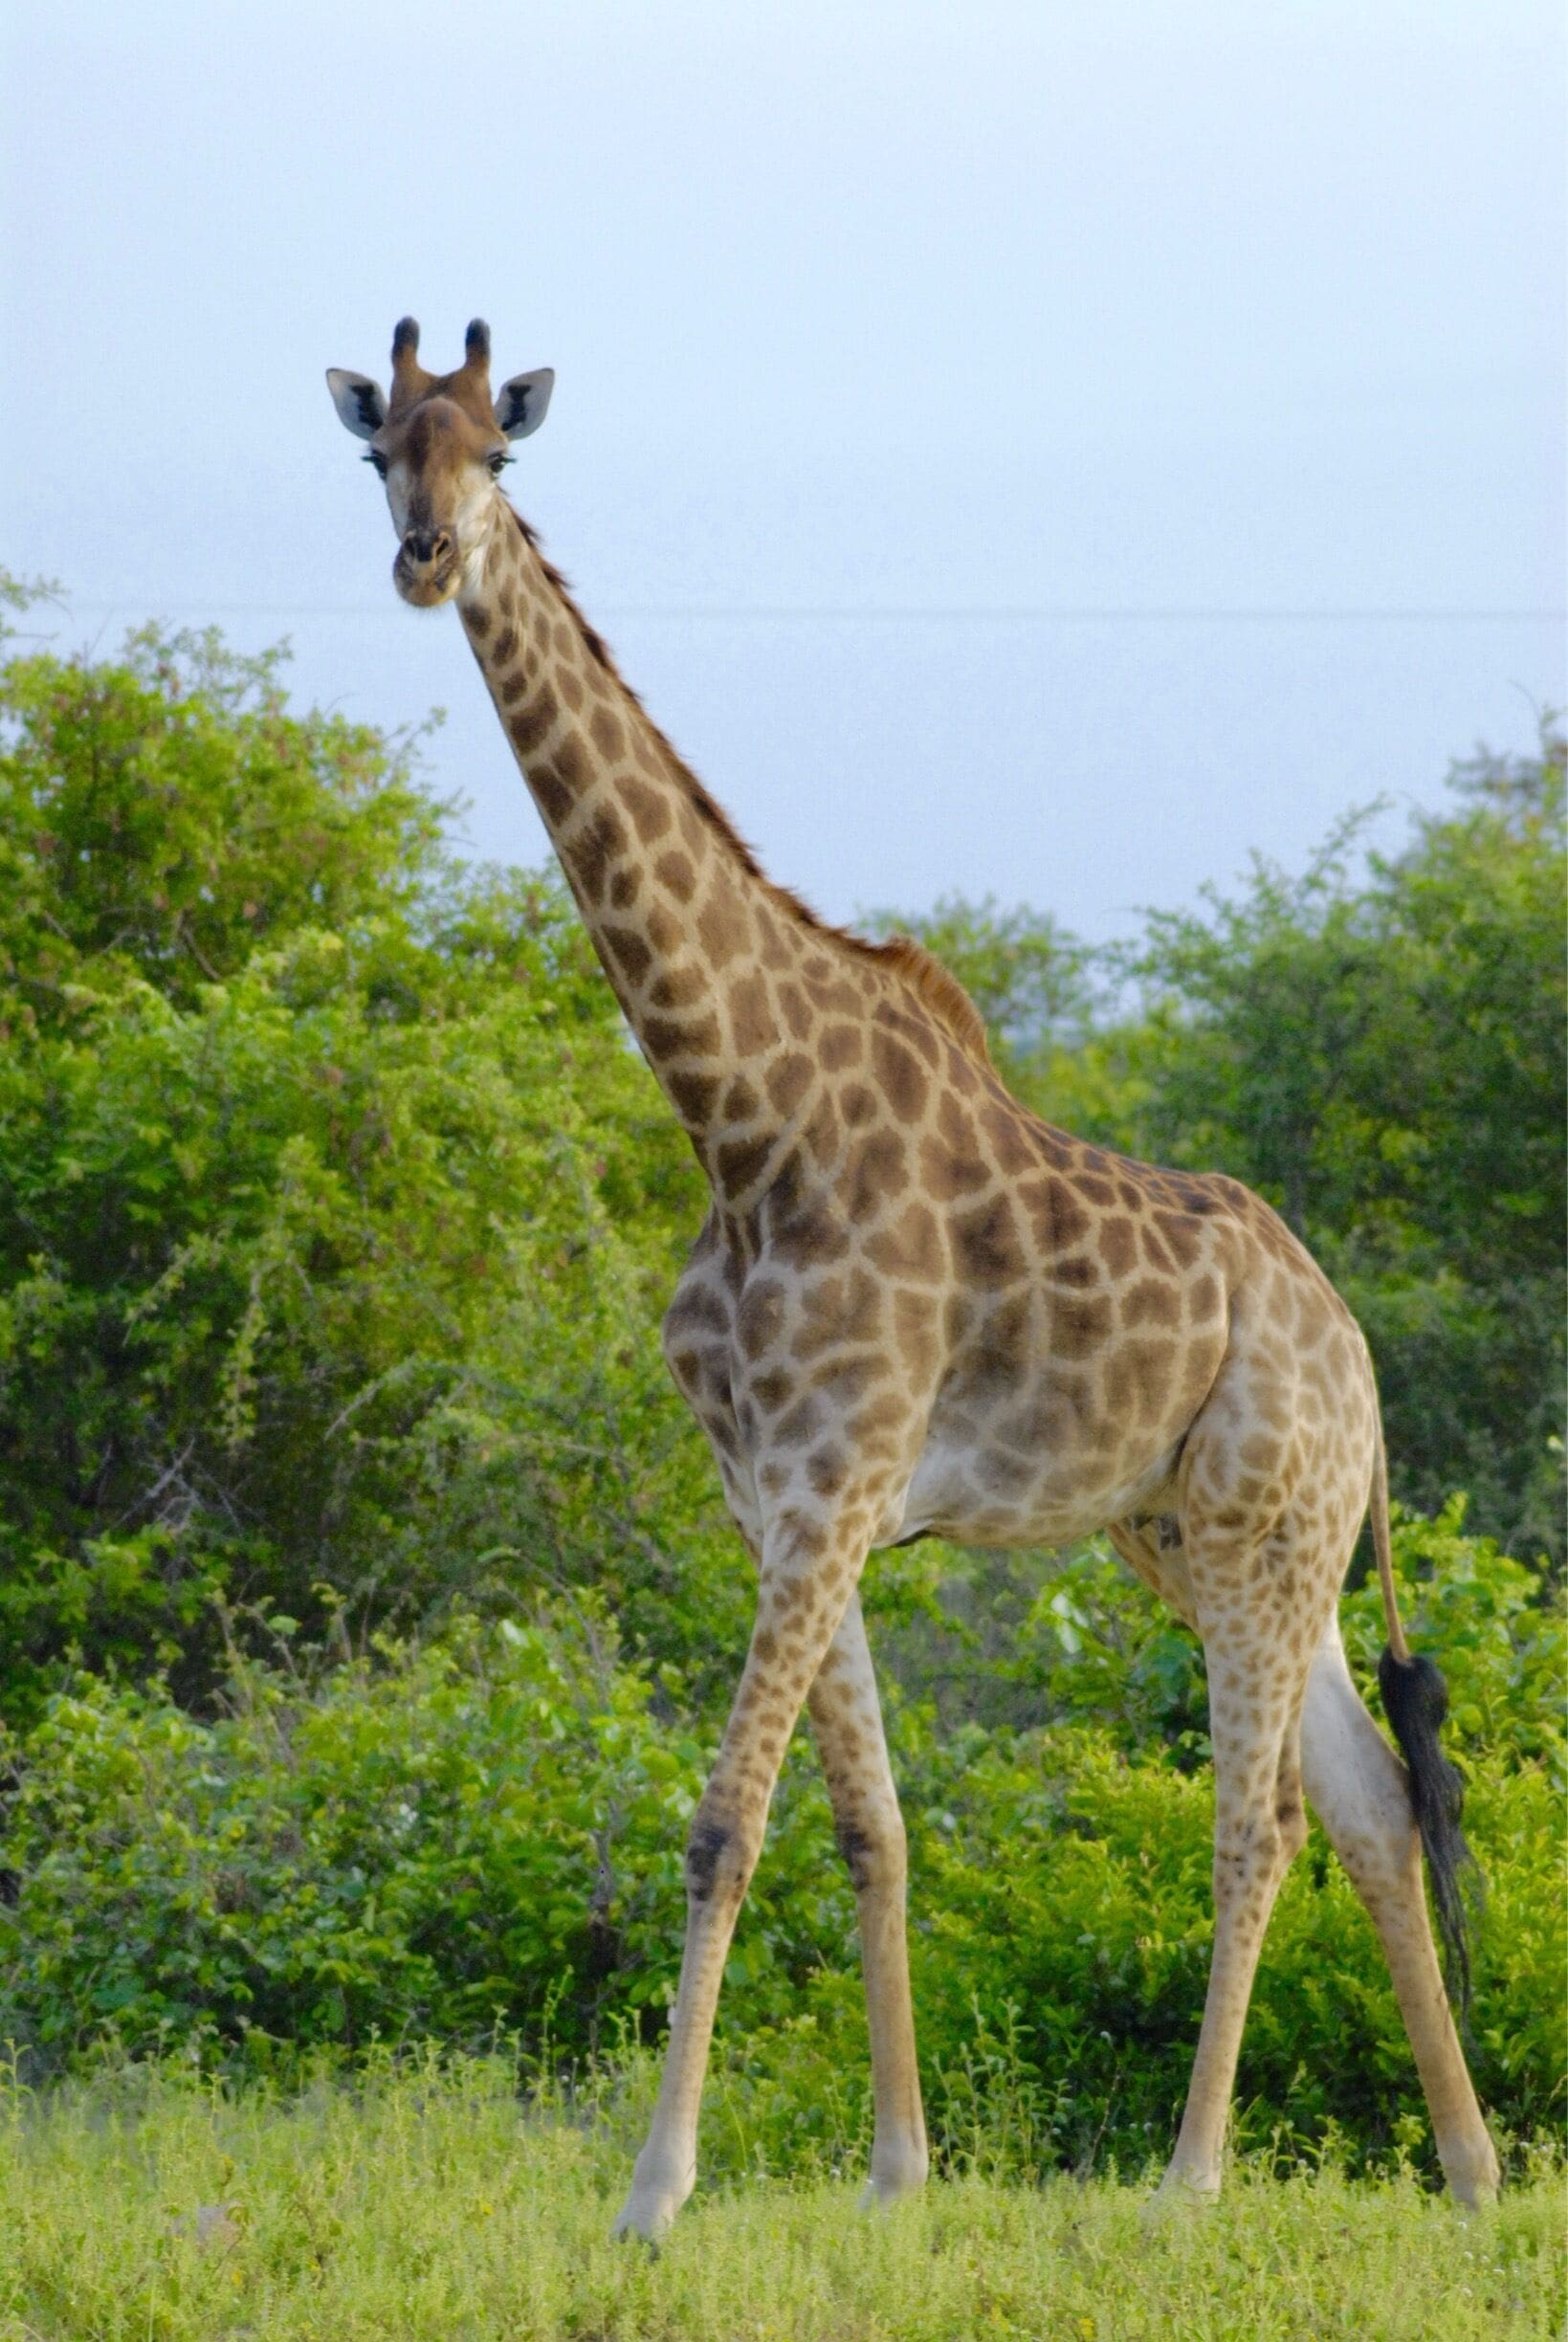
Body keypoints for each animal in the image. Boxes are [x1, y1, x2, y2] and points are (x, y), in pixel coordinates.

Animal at [327, 319, 1500, 2238]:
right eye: (377, 456)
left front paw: (652, 2194)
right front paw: (894, 2174)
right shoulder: (785, 1504)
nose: (427, 559)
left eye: (498, 453)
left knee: (1252, 1819)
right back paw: (1469, 2173)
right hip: (1221, 1540)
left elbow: (720, 1824)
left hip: (1257, 1527)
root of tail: (1358, 1356)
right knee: (1371, 1800)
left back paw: (1186, 2181)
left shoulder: (828, 1490)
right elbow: (866, 1828)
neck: (739, 1119)